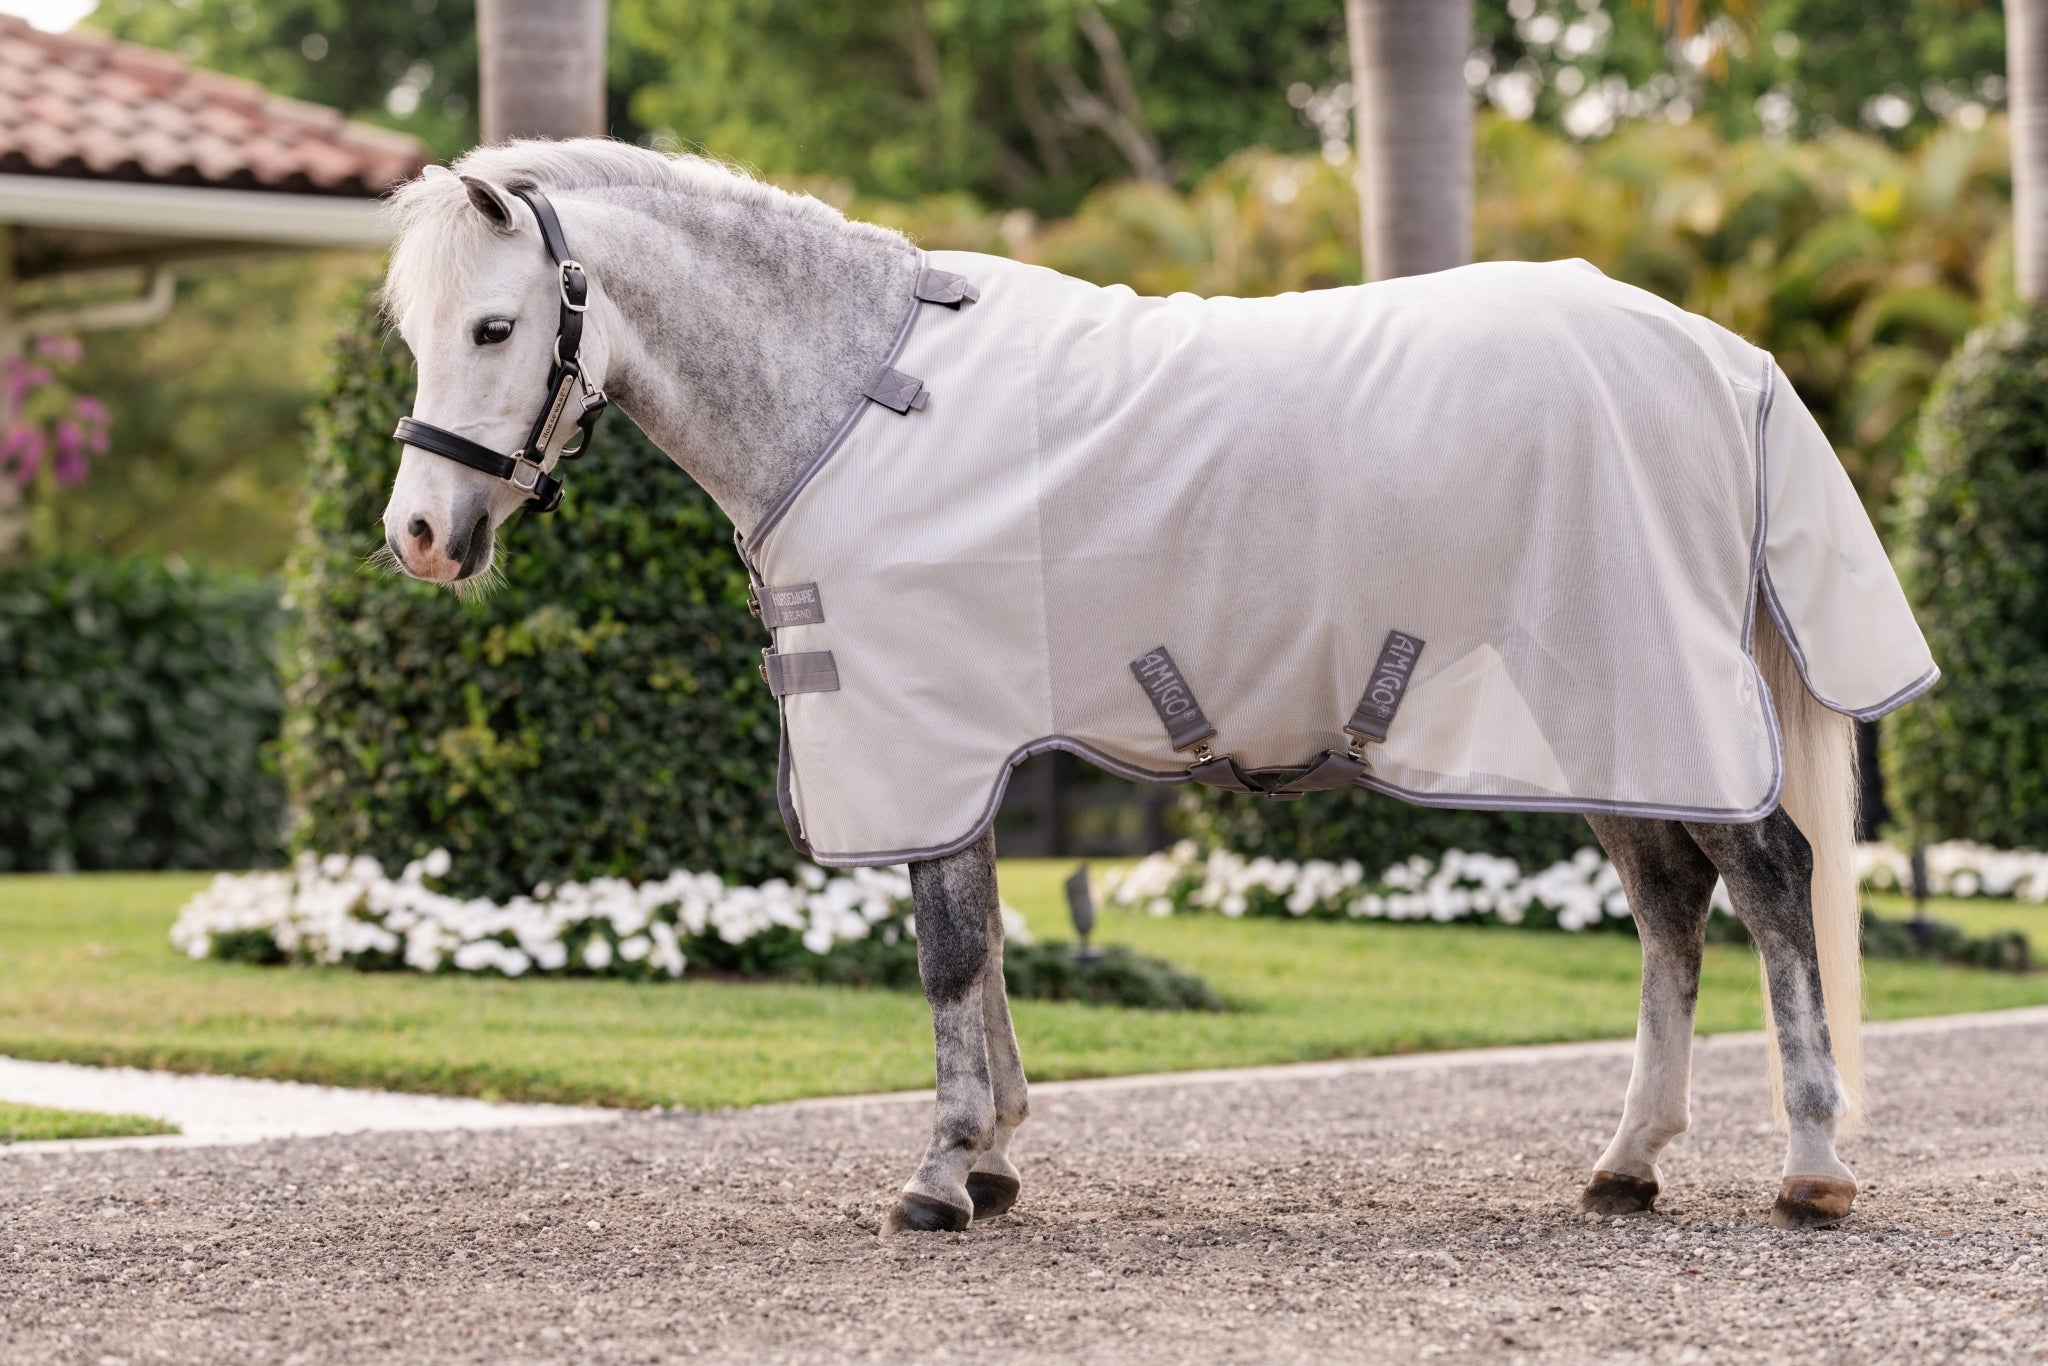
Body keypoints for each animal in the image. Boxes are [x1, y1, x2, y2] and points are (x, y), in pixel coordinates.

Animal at [376, 138, 1936, 1235]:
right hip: (1606, 719)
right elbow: (987, 948)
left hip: (1651, 695)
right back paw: (1626, 1162)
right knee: (1674, 906)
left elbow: (948, 952)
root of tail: (1723, 358)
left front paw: (942, 1172)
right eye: (413, 331)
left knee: (1772, 880)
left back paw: (1809, 1162)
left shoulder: (928, 737)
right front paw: (995, 1155)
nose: (419, 536)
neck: (857, 397)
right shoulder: (970, 749)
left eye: (497, 327)